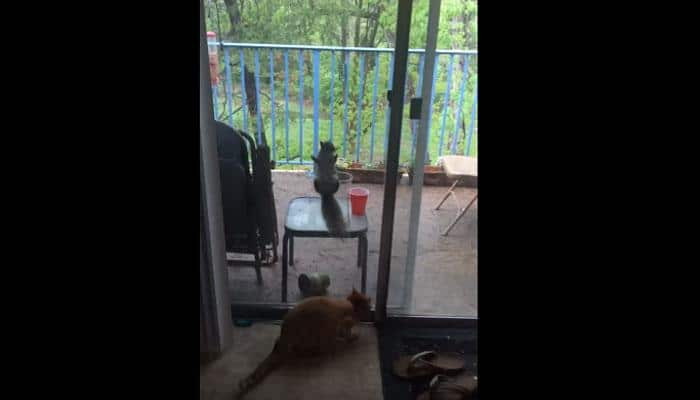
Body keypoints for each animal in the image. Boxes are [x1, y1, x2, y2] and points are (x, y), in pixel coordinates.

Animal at [235, 290, 372, 398]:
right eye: (368, 307)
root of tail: (285, 336)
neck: (351, 305)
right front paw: (351, 337)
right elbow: (346, 333)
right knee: (305, 351)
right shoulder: (344, 322)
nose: (370, 309)